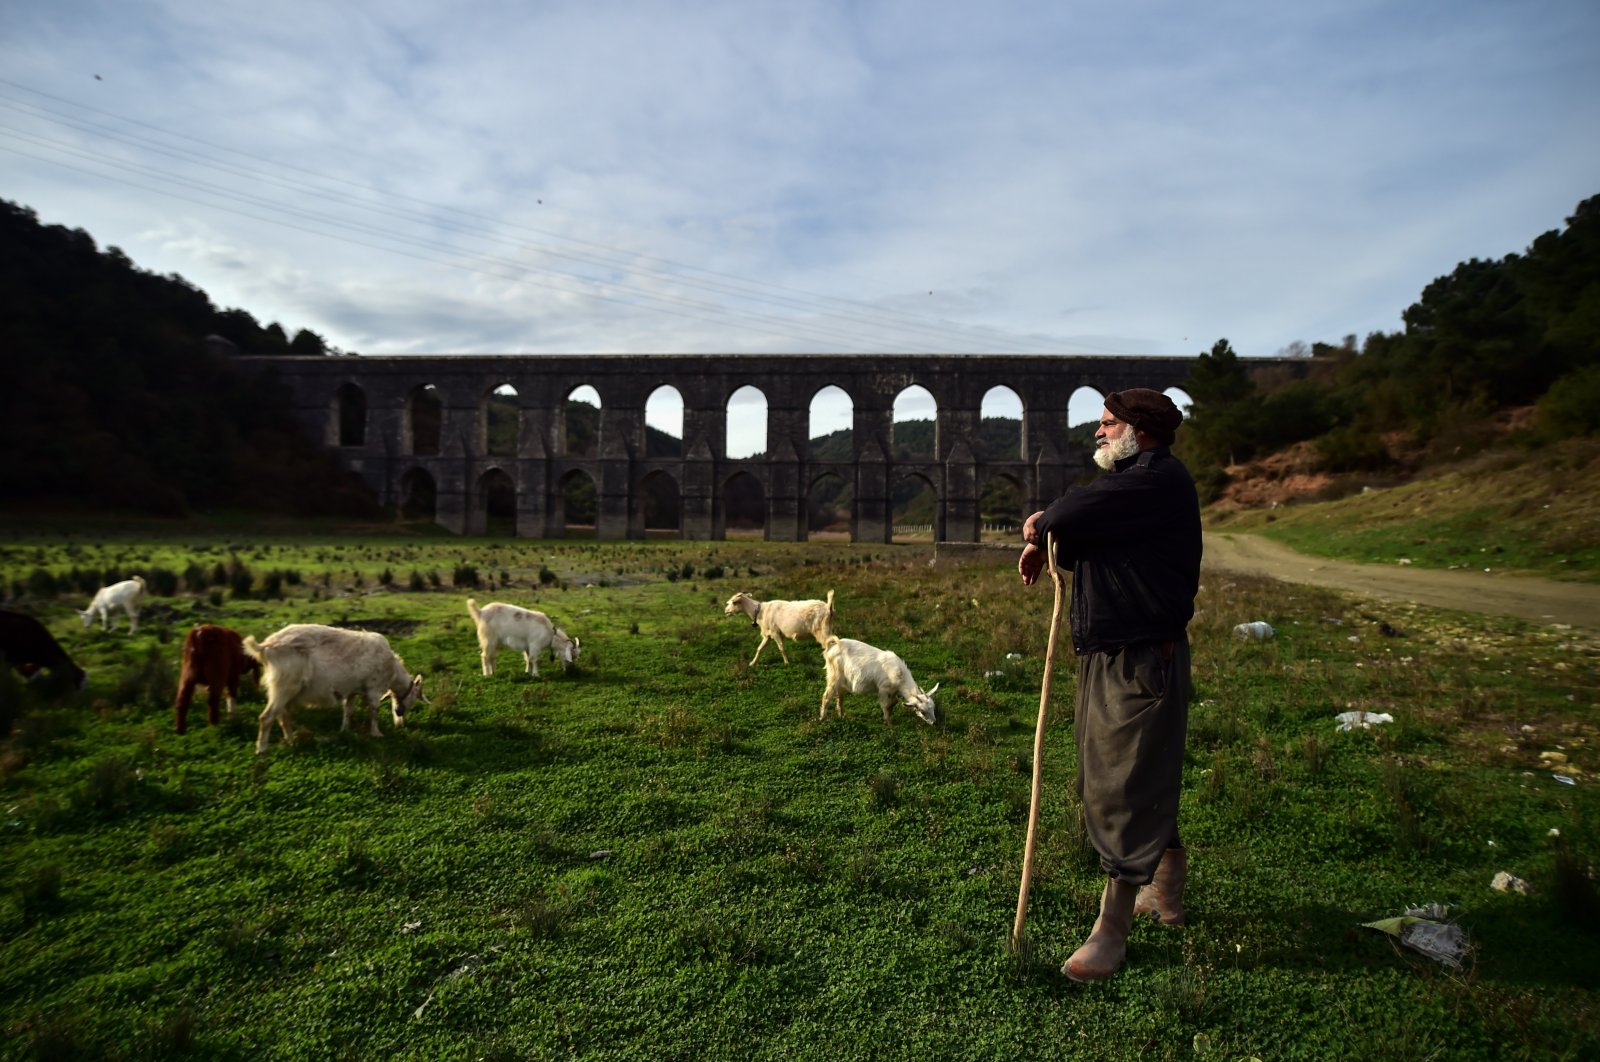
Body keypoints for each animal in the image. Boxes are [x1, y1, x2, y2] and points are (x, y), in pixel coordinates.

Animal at [241, 623, 428, 754]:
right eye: (414, 699)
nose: (400, 717)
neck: (393, 671)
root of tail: (266, 646)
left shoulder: (353, 690)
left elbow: (348, 711)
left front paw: (344, 731)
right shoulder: (374, 689)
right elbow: (374, 712)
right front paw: (376, 734)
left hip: (285, 691)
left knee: (283, 716)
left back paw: (291, 740)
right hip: (285, 686)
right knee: (266, 717)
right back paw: (262, 749)